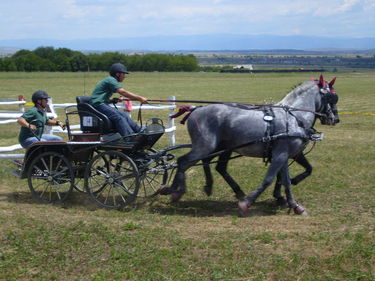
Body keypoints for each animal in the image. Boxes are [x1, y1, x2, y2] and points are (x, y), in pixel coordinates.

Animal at [163, 74, 340, 214]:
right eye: (331, 97)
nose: (335, 119)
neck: (294, 117)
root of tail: (196, 109)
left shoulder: (284, 154)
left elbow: (287, 180)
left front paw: (293, 204)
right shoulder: (281, 155)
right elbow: (269, 179)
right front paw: (247, 203)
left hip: (218, 148)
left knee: (205, 164)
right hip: (205, 147)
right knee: (184, 161)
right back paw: (176, 190)